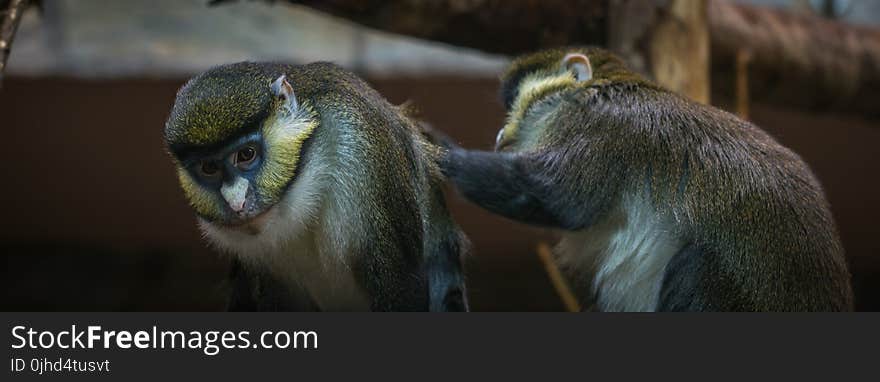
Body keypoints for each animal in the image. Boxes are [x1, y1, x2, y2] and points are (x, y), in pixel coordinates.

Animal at [440, 47, 852, 310]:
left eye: (513, 103)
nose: (499, 134)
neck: (599, 86)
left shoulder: (596, 123)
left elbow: (557, 197)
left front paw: (443, 151)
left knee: (695, 267)